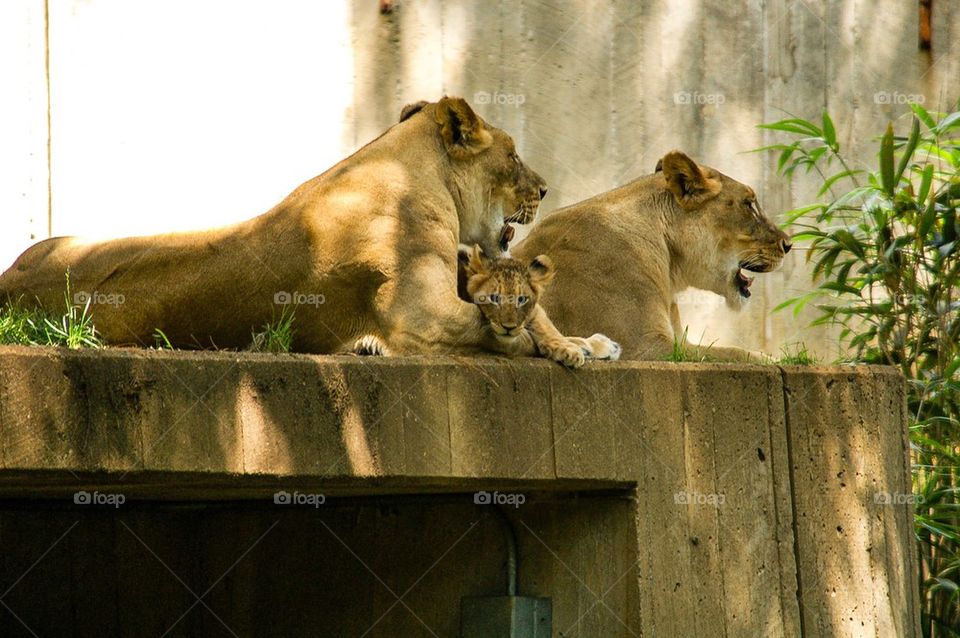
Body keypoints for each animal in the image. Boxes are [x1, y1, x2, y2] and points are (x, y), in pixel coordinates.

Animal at [0, 97, 616, 360]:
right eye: (513, 155)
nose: (544, 189)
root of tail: (10, 284)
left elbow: (534, 311)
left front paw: (587, 341)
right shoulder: (422, 317)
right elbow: (515, 323)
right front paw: (572, 348)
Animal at [512, 150, 792, 362]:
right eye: (749, 204)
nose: (788, 244)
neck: (670, 262)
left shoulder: (678, 341)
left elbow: (731, 350)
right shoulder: (647, 348)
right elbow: (735, 354)